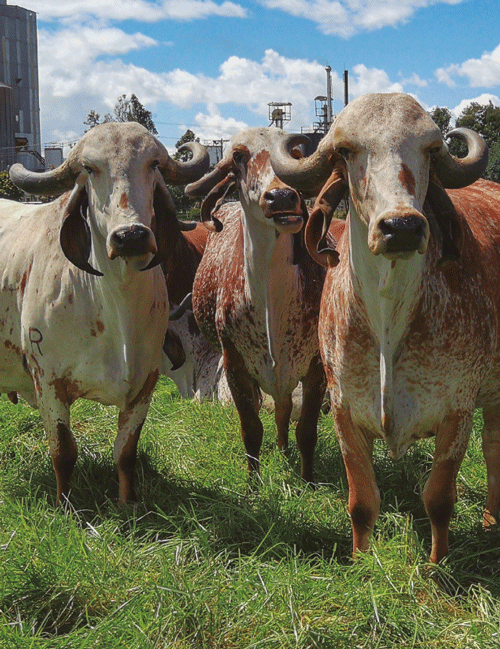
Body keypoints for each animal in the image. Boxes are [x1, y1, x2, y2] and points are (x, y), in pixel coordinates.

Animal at [0, 123, 208, 506]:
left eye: (153, 164)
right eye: (89, 168)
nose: (131, 236)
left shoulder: (144, 386)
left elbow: (125, 453)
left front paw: (127, 503)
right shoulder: (48, 382)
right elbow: (63, 452)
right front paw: (65, 506)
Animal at [186, 128, 330, 480]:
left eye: (294, 154)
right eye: (238, 156)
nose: (282, 197)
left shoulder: (315, 368)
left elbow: (306, 430)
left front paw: (308, 480)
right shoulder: (236, 366)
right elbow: (251, 430)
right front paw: (254, 483)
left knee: (283, 410)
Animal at [276, 92, 498, 560]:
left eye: (430, 149)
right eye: (345, 150)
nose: (402, 226)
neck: (388, 316)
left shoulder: (458, 413)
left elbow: (439, 500)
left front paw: (435, 565)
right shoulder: (343, 410)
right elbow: (362, 502)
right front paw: (360, 559)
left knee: (493, 451)